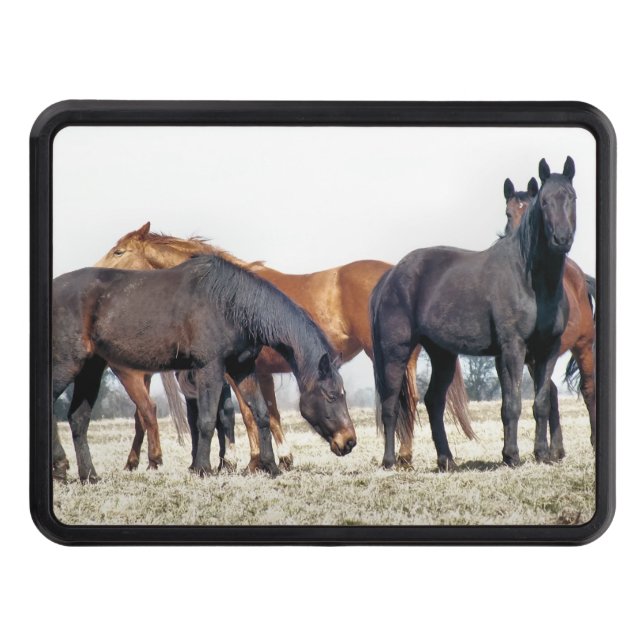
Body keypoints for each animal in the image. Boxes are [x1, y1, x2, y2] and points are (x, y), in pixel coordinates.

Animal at [52, 254, 356, 482]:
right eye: (331, 395)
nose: (349, 441)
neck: (231, 304)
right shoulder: (210, 368)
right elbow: (208, 420)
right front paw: (202, 468)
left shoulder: (242, 369)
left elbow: (260, 414)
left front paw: (270, 466)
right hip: (68, 365)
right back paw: (61, 468)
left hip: (91, 370)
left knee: (78, 419)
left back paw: (89, 475)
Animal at [96, 225, 474, 470]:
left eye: (119, 251)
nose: (96, 272)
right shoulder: (258, 372)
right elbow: (267, 414)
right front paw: (278, 458)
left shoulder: (237, 371)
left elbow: (247, 414)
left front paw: (253, 462)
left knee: (405, 400)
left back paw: (402, 457)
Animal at [371, 157, 577, 470]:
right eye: (544, 202)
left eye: (572, 197)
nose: (561, 238)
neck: (529, 279)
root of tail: (391, 276)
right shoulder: (513, 349)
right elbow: (512, 404)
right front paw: (512, 456)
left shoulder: (547, 351)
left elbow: (540, 402)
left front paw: (541, 454)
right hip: (396, 351)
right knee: (391, 404)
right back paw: (389, 461)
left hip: (442, 354)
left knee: (434, 401)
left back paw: (446, 460)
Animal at [504, 177, 596, 451]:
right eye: (508, 213)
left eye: (531, 211)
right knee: (552, 391)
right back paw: (557, 448)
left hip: (583, 346)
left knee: (588, 388)